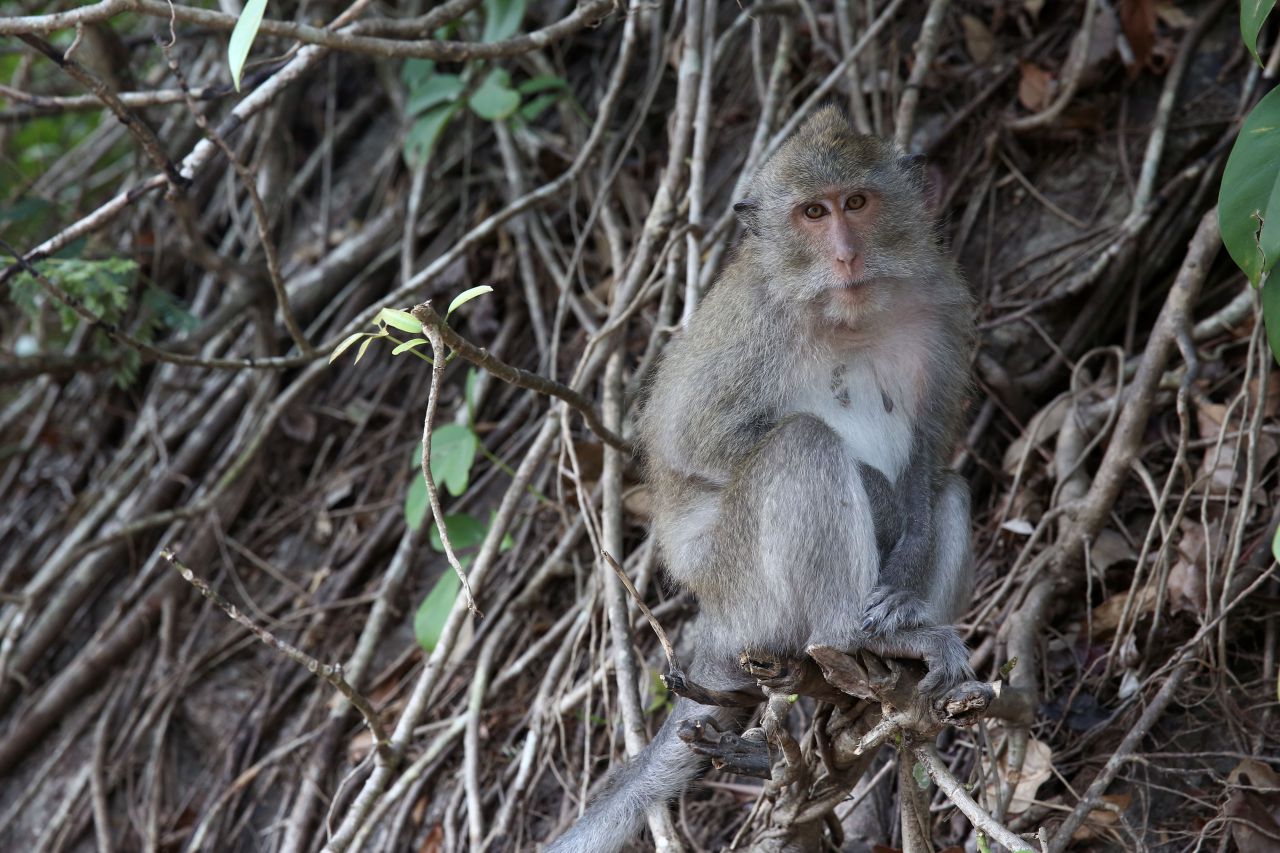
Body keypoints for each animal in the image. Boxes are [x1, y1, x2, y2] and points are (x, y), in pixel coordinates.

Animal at [545, 106, 972, 850]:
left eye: (855, 203)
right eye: (812, 213)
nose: (845, 254)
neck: (843, 315)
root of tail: (714, 617)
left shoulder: (940, 306)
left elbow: (927, 448)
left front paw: (909, 534)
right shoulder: (754, 331)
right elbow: (693, 445)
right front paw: (881, 503)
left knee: (947, 488)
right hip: (748, 591)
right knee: (802, 445)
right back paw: (858, 637)